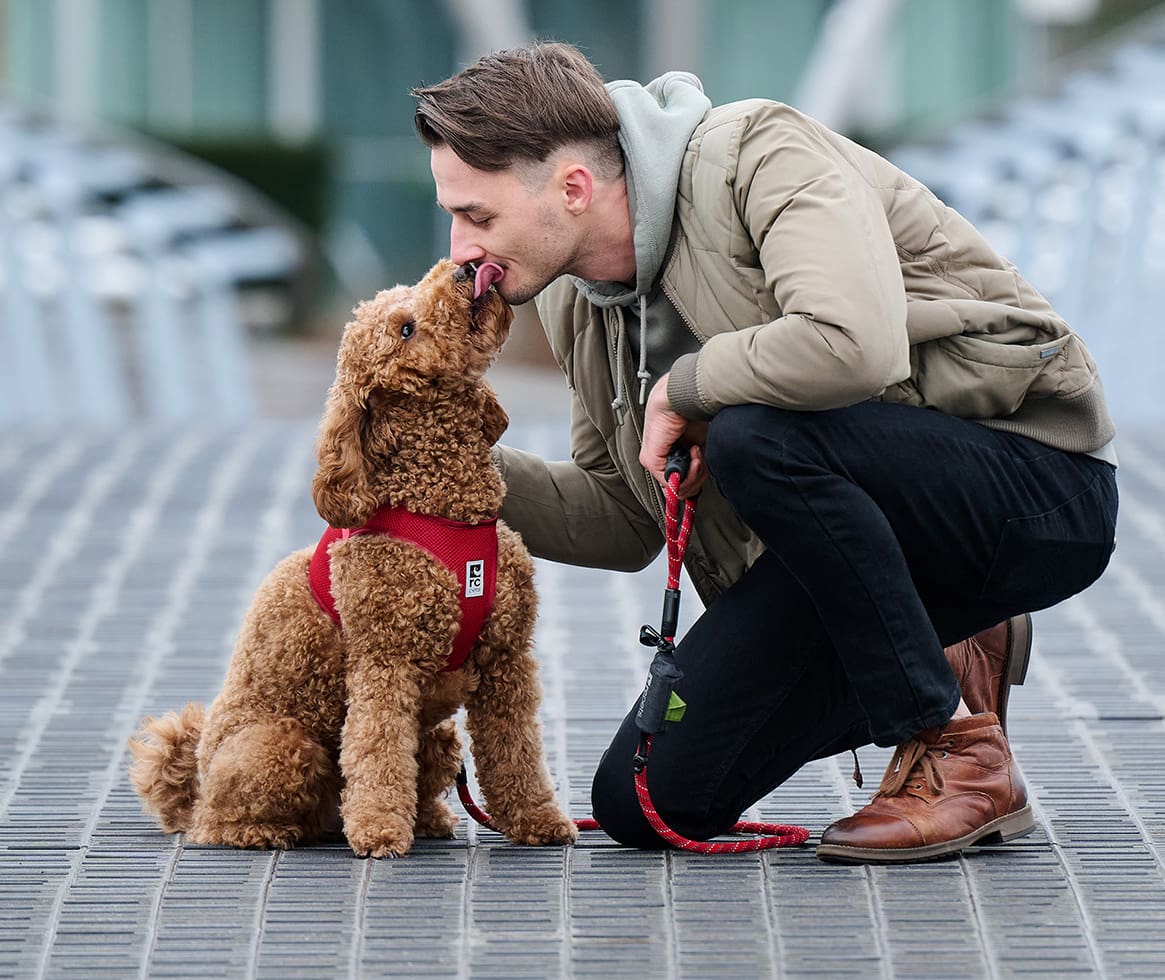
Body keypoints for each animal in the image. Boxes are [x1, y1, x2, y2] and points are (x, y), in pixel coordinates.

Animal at [128, 257, 577, 857]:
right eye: (405, 329)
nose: (464, 267)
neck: (445, 509)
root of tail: (194, 784)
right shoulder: (384, 662)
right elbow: (376, 751)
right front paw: (381, 830)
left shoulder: (506, 658)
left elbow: (516, 751)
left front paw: (537, 819)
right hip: (280, 745)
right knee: (220, 821)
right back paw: (265, 830)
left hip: (438, 734)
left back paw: (426, 818)